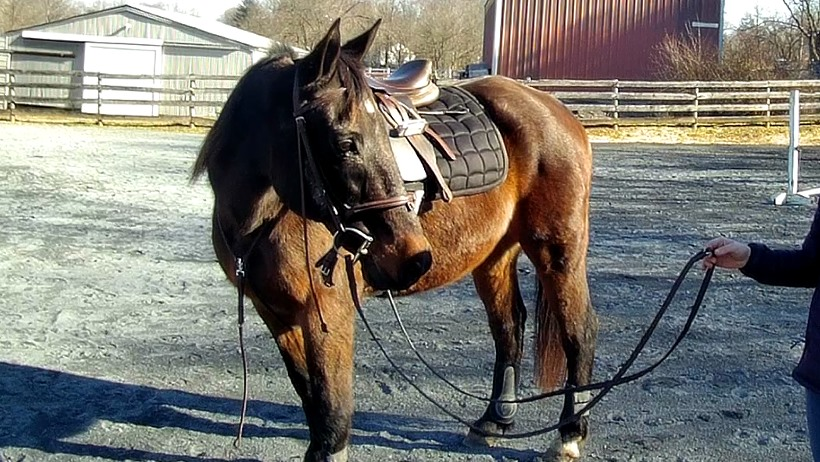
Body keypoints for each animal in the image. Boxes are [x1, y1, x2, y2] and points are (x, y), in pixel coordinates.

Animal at [191, 18, 597, 462]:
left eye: (386, 136)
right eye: (346, 142)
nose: (412, 257)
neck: (260, 218)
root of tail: (553, 108)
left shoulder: (326, 314)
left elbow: (332, 405)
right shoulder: (276, 314)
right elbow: (310, 395)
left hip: (558, 250)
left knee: (579, 331)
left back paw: (569, 434)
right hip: (494, 256)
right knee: (509, 326)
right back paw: (493, 420)